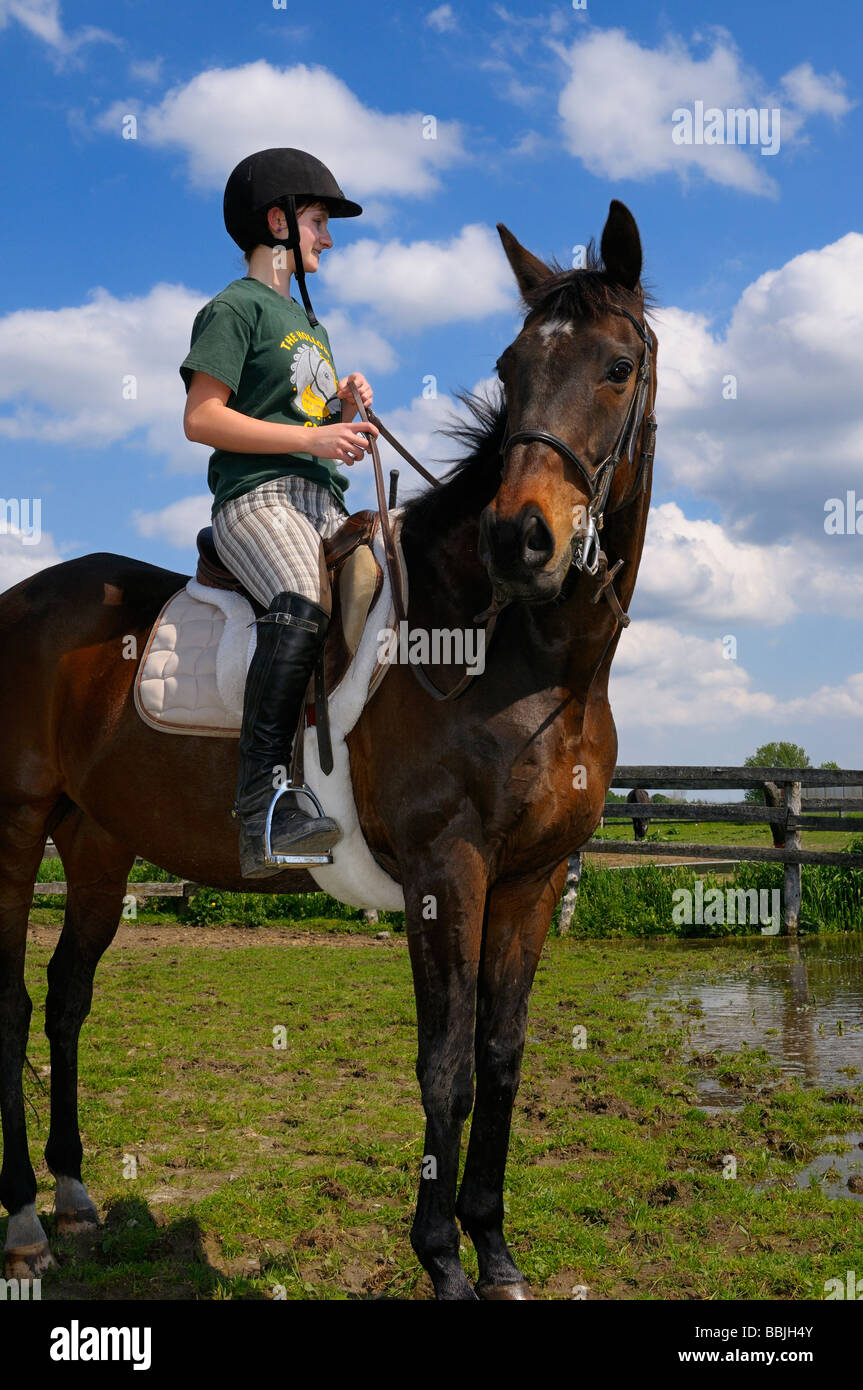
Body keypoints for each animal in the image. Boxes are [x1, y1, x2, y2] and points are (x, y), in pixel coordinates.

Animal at [0, 198, 655, 1301]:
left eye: (615, 366)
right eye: (510, 367)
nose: (519, 540)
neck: (521, 654)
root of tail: (20, 599)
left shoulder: (530, 877)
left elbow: (500, 1057)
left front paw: (495, 1250)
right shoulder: (446, 870)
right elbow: (443, 1065)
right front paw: (441, 1259)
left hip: (95, 842)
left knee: (65, 996)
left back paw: (76, 1194)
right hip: (13, 830)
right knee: (6, 999)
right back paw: (20, 1221)